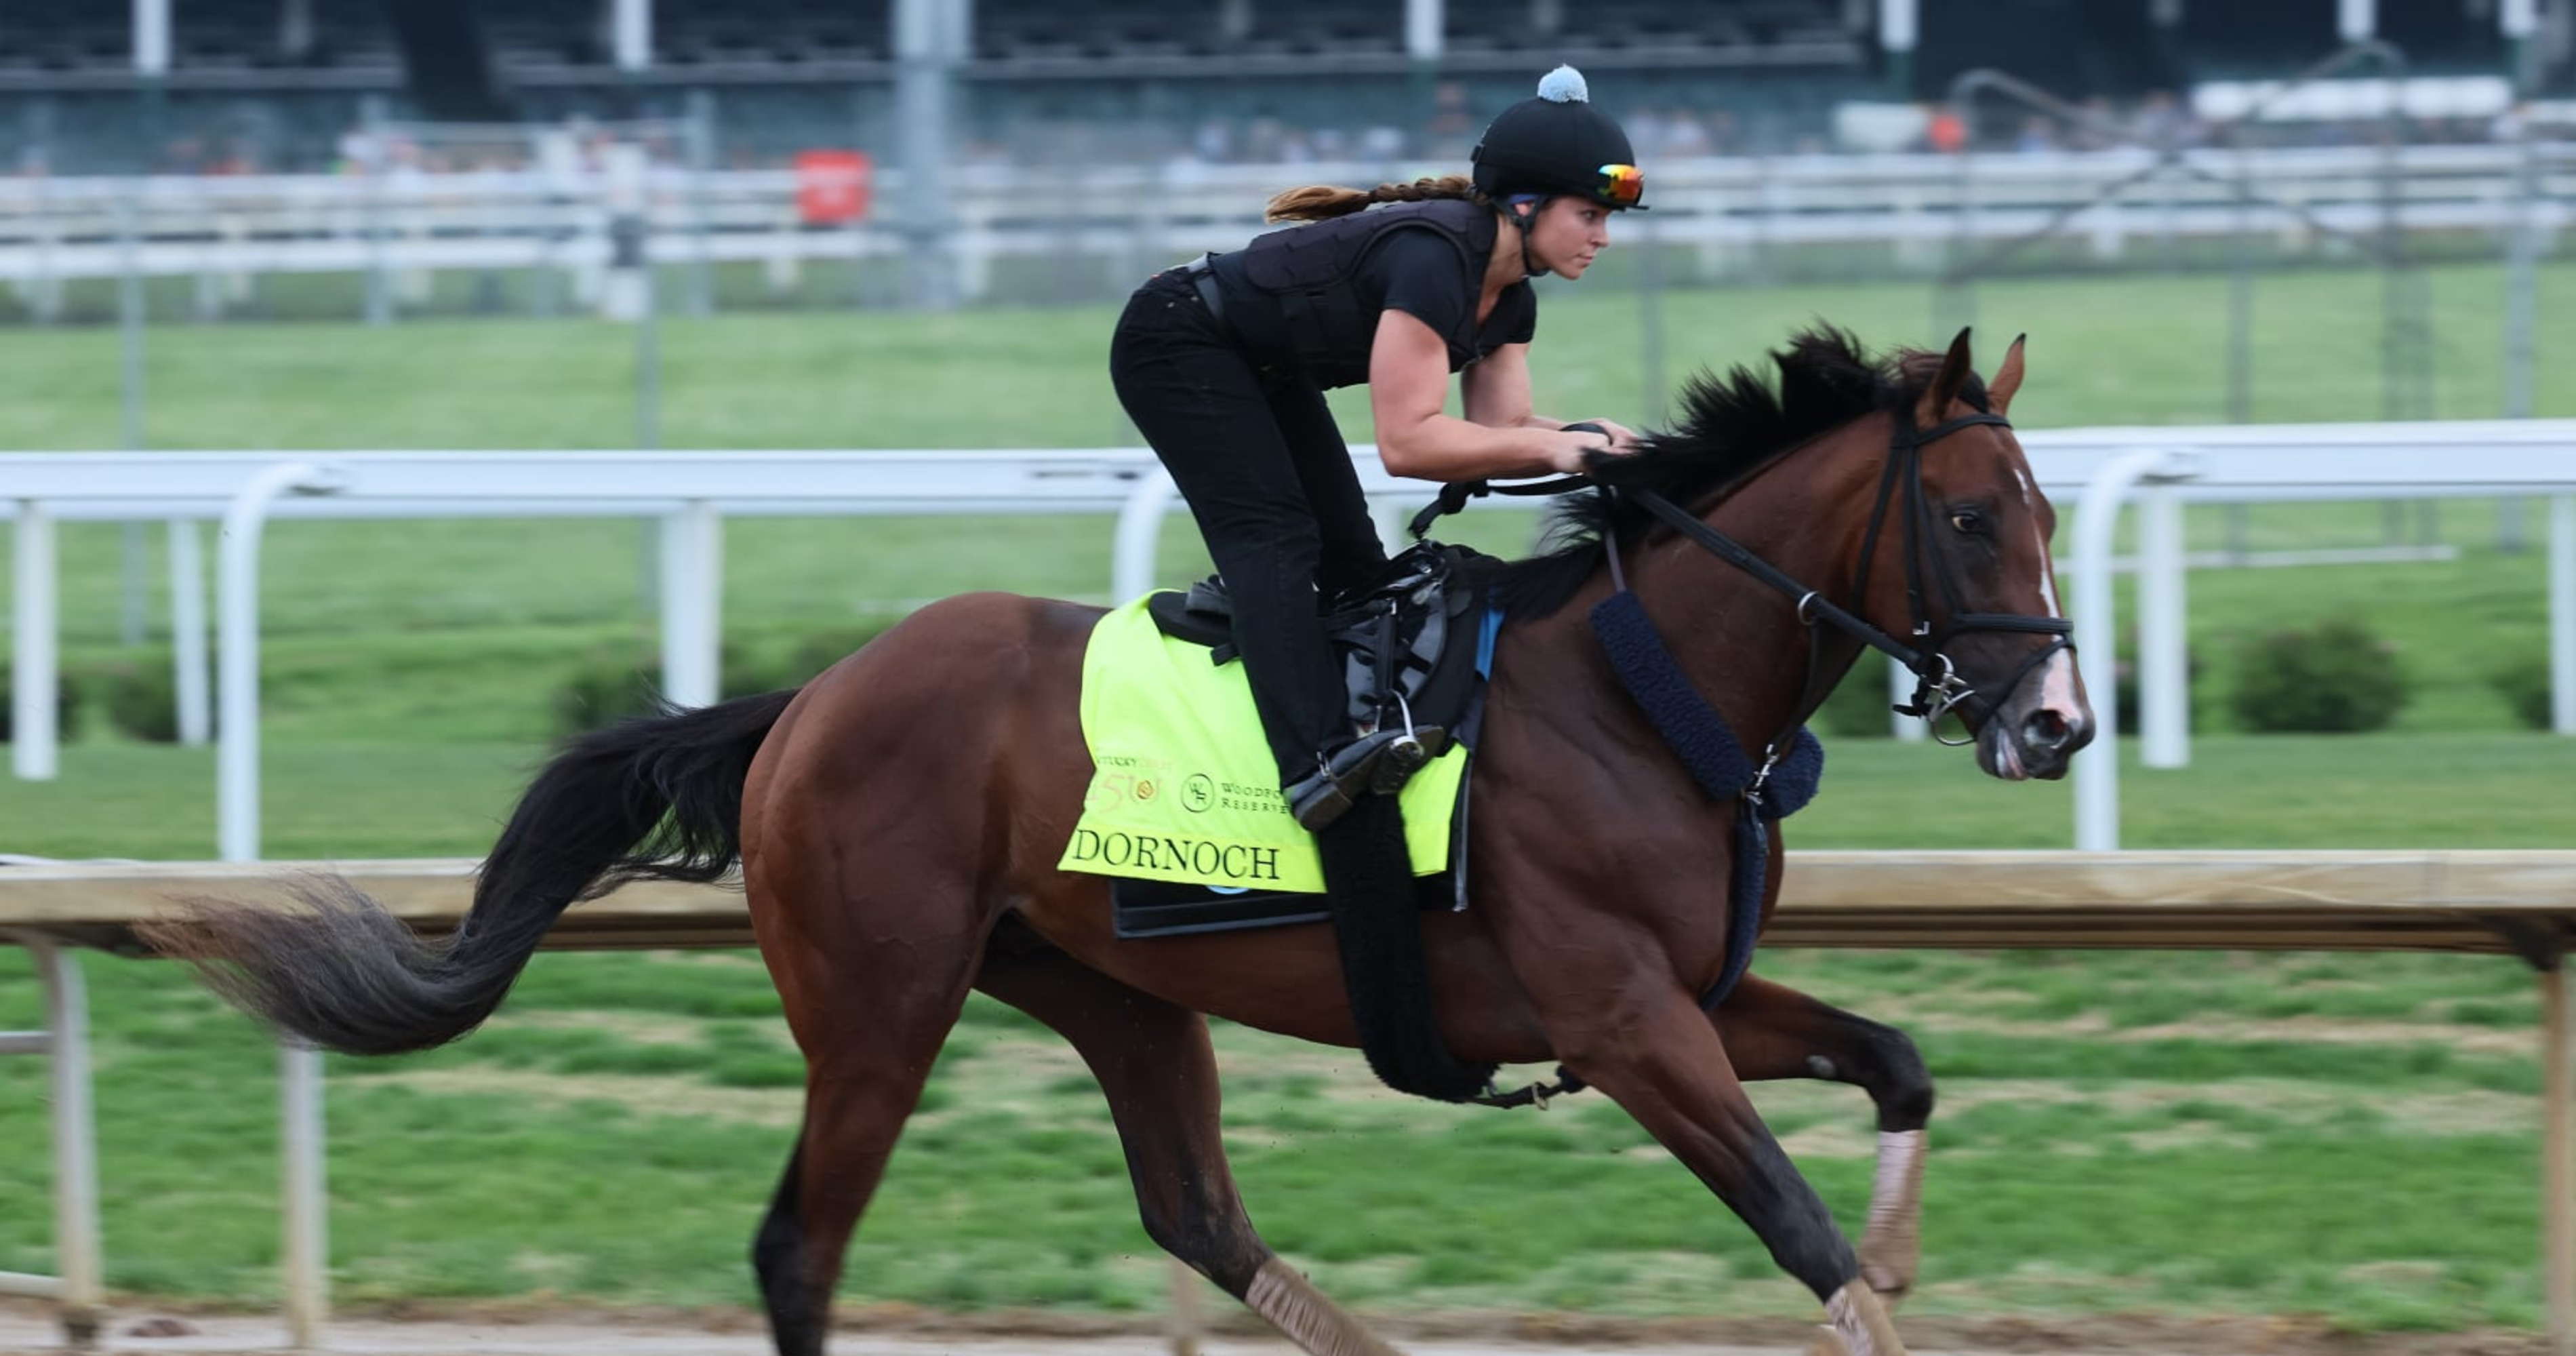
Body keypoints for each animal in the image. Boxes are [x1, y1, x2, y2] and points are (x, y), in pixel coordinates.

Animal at [146, 327, 2091, 1356]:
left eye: (2048, 517)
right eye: (1970, 519)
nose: (2058, 720)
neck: (1640, 690)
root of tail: (814, 696)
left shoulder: (1691, 993)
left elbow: (1898, 1064)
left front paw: (1907, 1243)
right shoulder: (1622, 1021)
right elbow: (1794, 1224)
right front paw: (1872, 1272)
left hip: (1112, 988)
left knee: (1196, 1210)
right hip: (881, 1000)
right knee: (800, 1245)